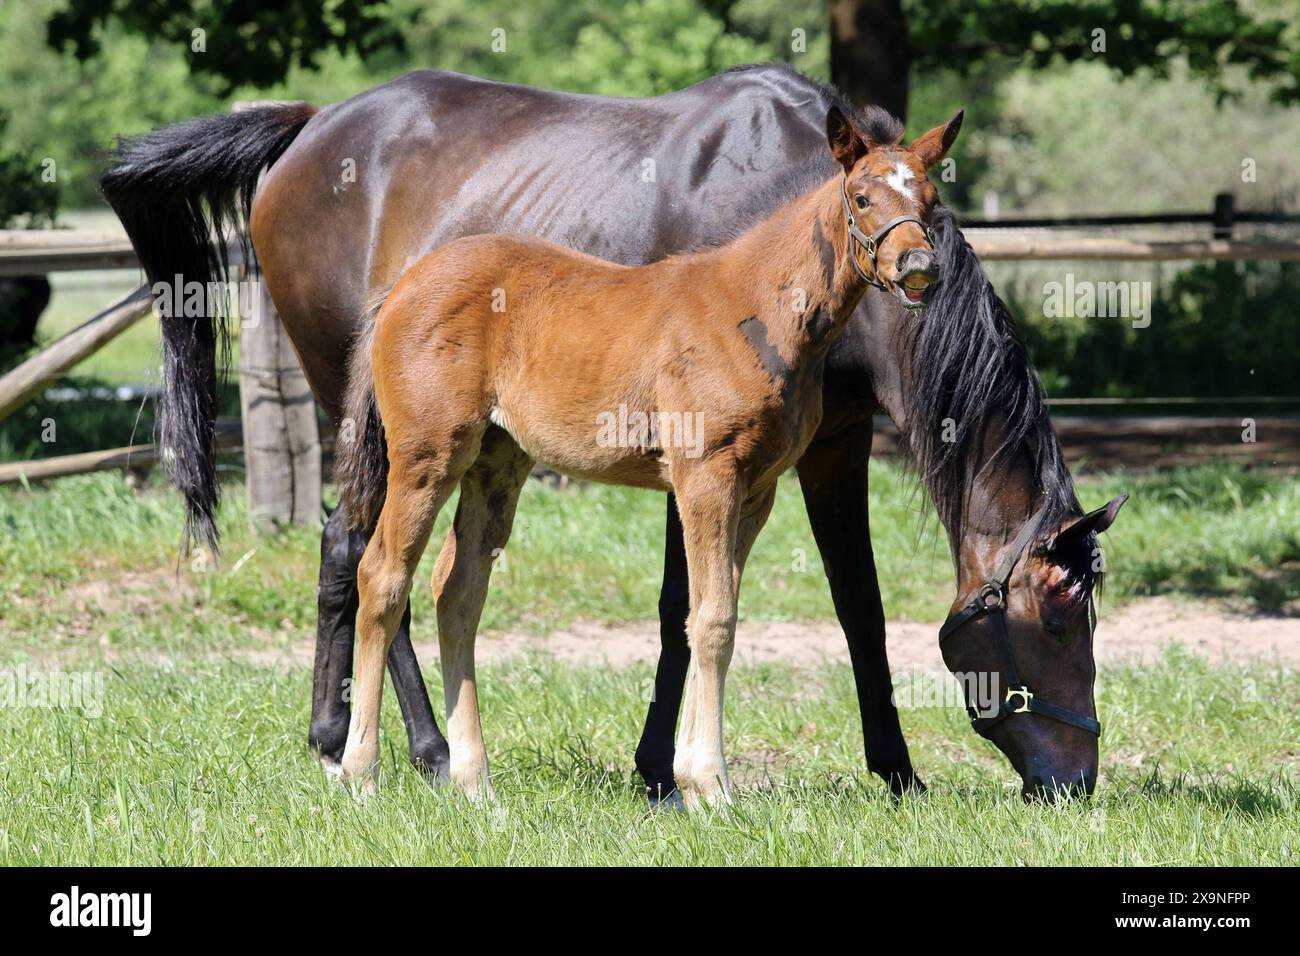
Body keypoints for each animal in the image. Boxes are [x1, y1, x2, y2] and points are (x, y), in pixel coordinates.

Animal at [335, 106, 967, 806]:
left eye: (931, 199)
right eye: (861, 196)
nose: (918, 265)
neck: (761, 310)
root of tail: (400, 286)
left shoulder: (756, 490)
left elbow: (708, 615)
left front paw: (691, 775)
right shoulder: (706, 477)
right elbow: (713, 619)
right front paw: (711, 785)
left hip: (496, 462)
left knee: (458, 592)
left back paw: (475, 784)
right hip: (427, 455)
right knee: (382, 577)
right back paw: (359, 774)